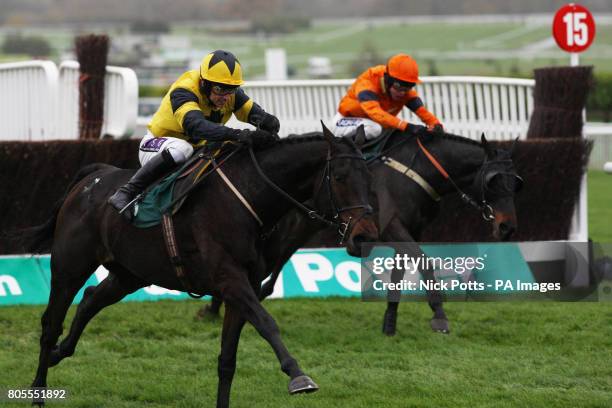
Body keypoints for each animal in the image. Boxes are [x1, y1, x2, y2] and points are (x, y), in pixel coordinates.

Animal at [22, 126, 378, 406]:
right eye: (340, 177)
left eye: (370, 178)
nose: (365, 235)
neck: (246, 198)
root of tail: (94, 177)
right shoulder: (230, 280)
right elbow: (267, 323)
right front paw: (298, 376)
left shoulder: (243, 287)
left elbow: (227, 360)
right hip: (69, 267)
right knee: (50, 324)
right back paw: (38, 391)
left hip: (130, 274)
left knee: (91, 299)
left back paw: (58, 354)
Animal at [200, 127, 520, 334]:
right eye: (493, 181)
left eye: (517, 181)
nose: (507, 226)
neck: (417, 173)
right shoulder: (392, 227)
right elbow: (424, 262)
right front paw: (439, 316)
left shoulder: (409, 232)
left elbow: (398, 275)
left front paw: (389, 322)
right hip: (289, 225)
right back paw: (217, 306)